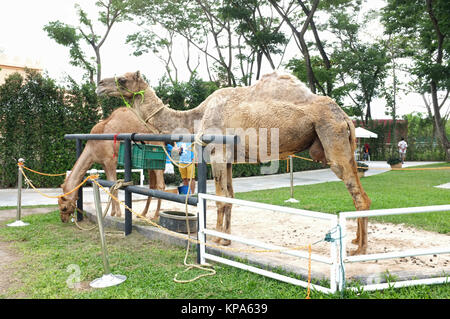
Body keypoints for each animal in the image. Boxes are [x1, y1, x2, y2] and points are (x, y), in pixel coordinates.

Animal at [96, 71, 370, 256]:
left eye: (123, 79)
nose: (99, 84)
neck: (196, 116)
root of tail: (345, 117)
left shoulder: (217, 153)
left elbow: (219, 198)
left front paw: (215, 239)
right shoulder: (228, 158)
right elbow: (229, 196)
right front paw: (225, 238)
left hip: (332, 137)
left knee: (359, 196)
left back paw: (360, 250)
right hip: (344, 143)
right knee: (361, 191)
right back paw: (356, 242)